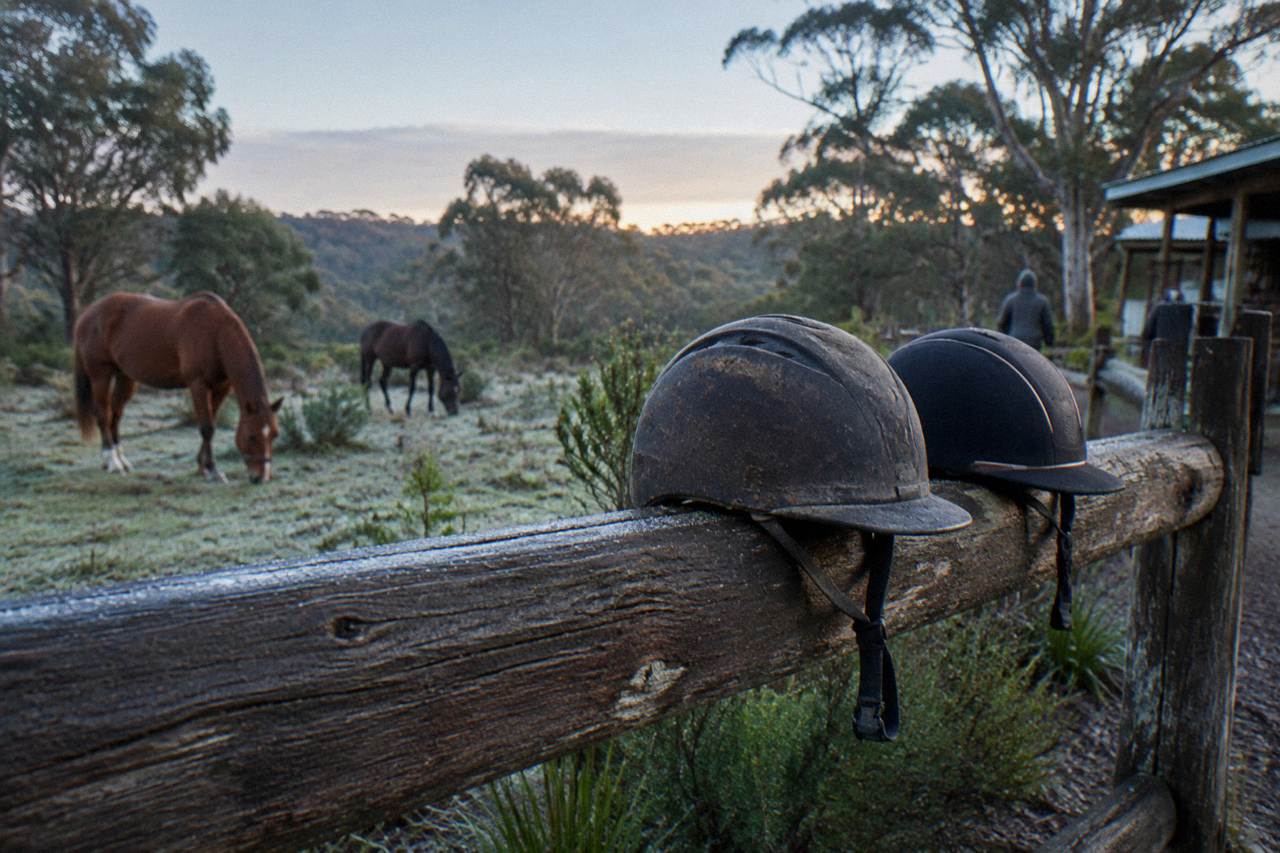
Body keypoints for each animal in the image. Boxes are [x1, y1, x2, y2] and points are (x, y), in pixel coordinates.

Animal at [73, 292, 283, 484]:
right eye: (252, 436)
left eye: (274, 434)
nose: (261, 477)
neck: (215, 333)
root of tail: (87, 314)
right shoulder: (198, 385)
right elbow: (207, 427)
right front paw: (212, 469)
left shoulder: (222, 387)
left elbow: (212, 422)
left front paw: (202, 466)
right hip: (100, 375)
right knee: (103, 414)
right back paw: (113, 462)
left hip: (125, 377)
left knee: (115, 415)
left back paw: (121, 460)